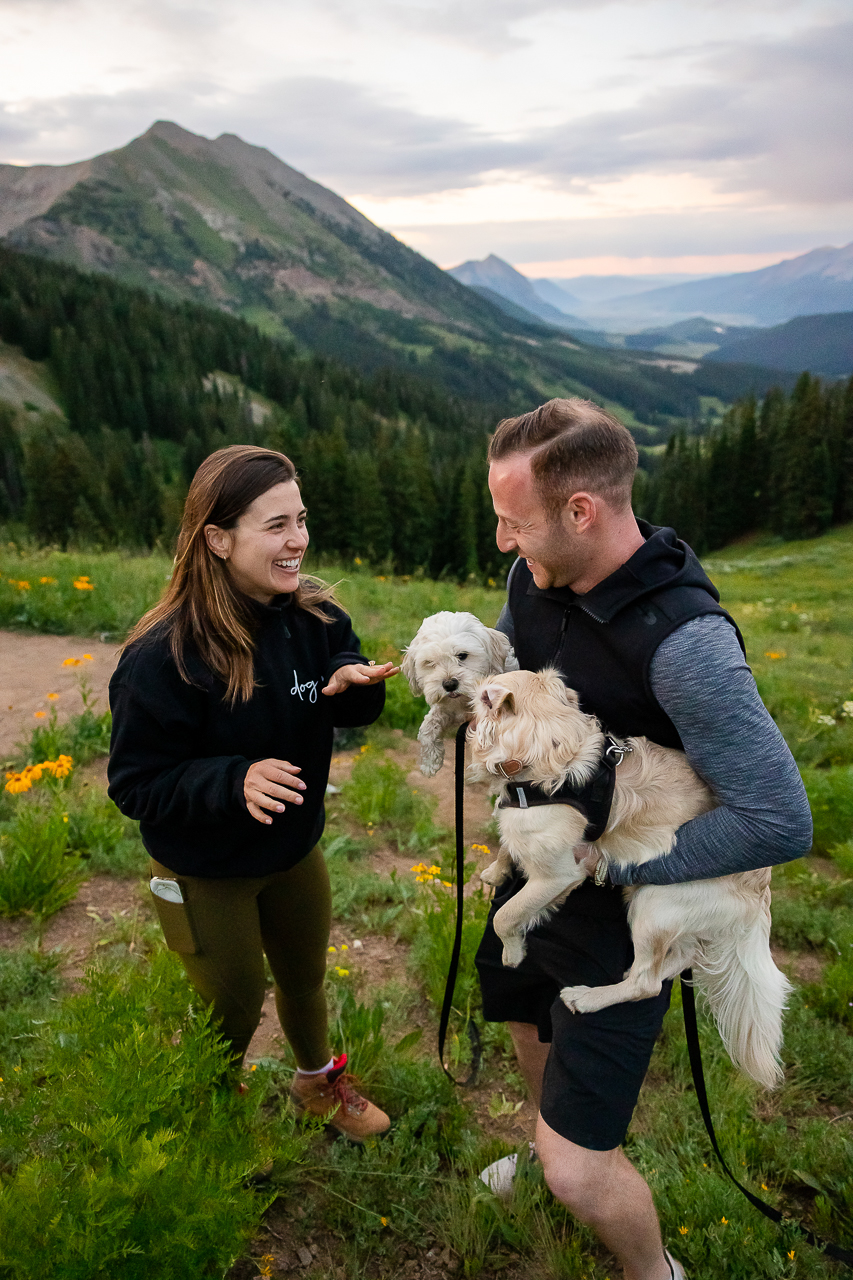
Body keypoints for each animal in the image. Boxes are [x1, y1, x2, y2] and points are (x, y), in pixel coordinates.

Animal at [399, 611, 514, 778]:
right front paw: (429, 762)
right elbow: (427, 727)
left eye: (462, 655)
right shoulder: (449, 711)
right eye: (430, 663)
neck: (465, 702)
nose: (449, 684)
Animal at [466, 670, 788, 1090]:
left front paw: (513, 952)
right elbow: (508, 842)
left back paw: (587, 998)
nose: (462, 706)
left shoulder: (559, 874)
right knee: (671, 965)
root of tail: (761, 887)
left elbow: (507, 916)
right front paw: (496, 870)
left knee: (646, 983)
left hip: (655, 903)